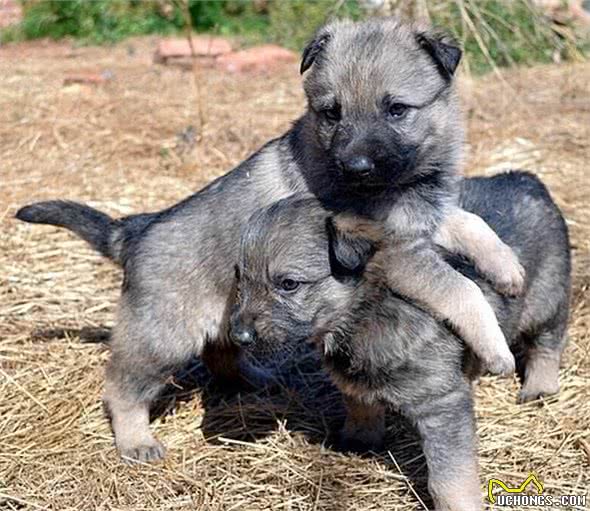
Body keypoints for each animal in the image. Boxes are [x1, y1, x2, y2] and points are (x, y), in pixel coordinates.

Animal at [17, 18, 520, 462]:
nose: (355, 167)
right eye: (331, 113)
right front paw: (495, 348)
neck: (401, 185)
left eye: (396, 109)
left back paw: (253, 377)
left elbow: (470, 222)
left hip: (223, 316)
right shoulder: (398, 254)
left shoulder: (422, 219)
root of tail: (135, 231)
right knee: (123, 389)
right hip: (161, 337)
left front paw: (507, 267)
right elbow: (461, 289)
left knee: (220, 352)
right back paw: (136, 440)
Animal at [232, 173, 572, 511]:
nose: (239, 336)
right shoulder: (356, 383)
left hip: (548, 301)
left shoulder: (443, 405)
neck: (365, 313)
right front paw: (359, 440)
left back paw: (539, 386)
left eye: (289, 284)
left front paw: (459, 503)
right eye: (241, 279)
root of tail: (525, 178)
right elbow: (361, 406)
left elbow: (449, 478)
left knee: (547, 344)